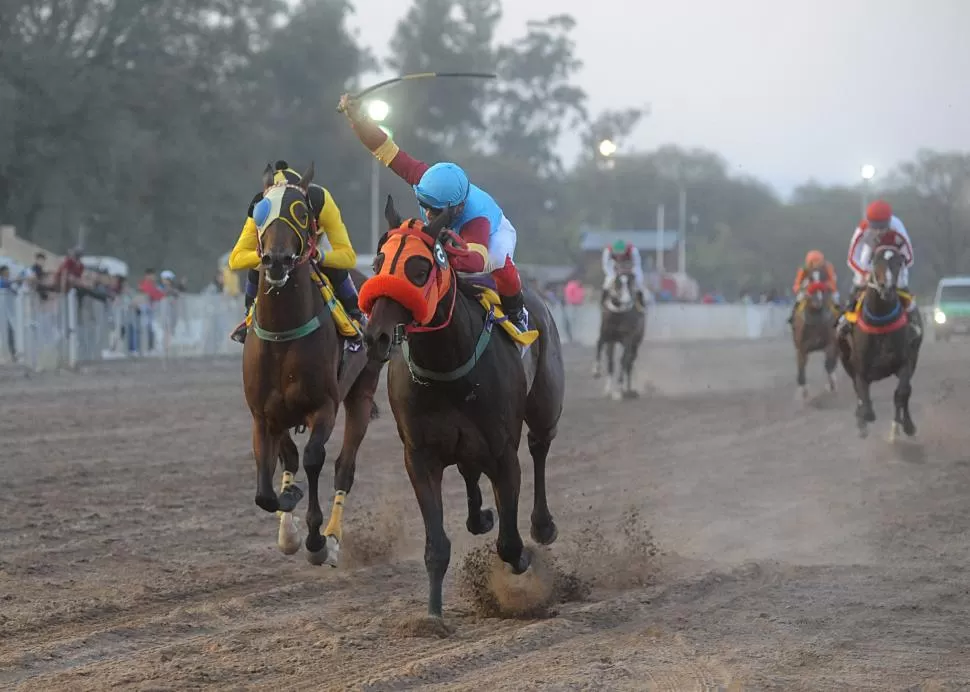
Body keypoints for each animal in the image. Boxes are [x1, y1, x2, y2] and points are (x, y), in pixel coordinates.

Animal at [240, 164, 380, 568]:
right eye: (259, 212)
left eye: (302, 211)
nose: (276, 260)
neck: (283, 336)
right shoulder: (263, 414)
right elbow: (267, 481)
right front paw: (288, 511)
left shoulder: (324, 406)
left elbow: (315, 459)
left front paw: (317, 538)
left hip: (362, 393)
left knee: (344, 468)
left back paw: (332, 537)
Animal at [360, 196, 564, 620]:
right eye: (376, 265)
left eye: (420, 269)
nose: (375, 337)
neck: (446, 366)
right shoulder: (419, 455)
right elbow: (436, 546)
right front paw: (433, 615)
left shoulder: (504, 453)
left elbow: (510, 544)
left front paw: (524, 560)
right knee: (470, 469)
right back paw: (479, 516)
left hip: (545, 404)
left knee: (539, 447)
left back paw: (542, 525)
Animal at [588, 268, 644, 400]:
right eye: (618, 283)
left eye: (630, 283)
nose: (626, 301)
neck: (618, 315)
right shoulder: (606, 336)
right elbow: (600, 346)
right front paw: (596, 371)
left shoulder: (628, 339)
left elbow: (623, 361)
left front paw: (619, 391)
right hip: (612, 342)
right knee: (612, 361)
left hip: (636, 343)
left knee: (629, 363)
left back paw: (628, 390)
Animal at [792, 270, 836, 400]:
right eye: (811, 279)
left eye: (823, 277)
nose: (818, 301)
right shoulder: (801, 349)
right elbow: (801, 369)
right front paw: (803, 392)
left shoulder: (830, 343)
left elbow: (829, 364)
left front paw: (831, 385)